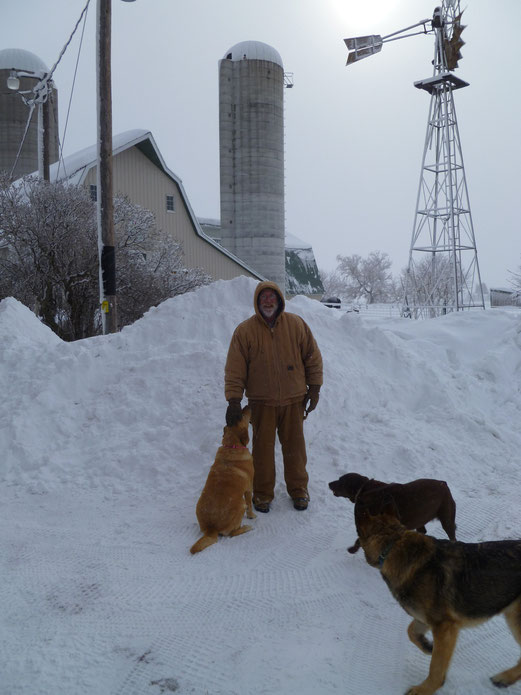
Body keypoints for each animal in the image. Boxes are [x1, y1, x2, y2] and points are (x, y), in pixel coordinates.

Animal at [191, 406, 256, 556]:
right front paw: (252, 516)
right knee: (233, 533)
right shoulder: (249, 488)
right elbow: (250, 505)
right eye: (241, 415)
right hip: (241, 504)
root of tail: (212, 528)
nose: (248, 405)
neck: (231, 446)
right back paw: (246, 527)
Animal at [354, 506, 521, 695]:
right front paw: (427, 646)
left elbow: (436, 666)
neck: (393, 545)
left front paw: (425, 689)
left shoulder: (444, 626)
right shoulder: (425, 619)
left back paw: (505, 678)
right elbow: (411, 632)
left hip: (516, 619)